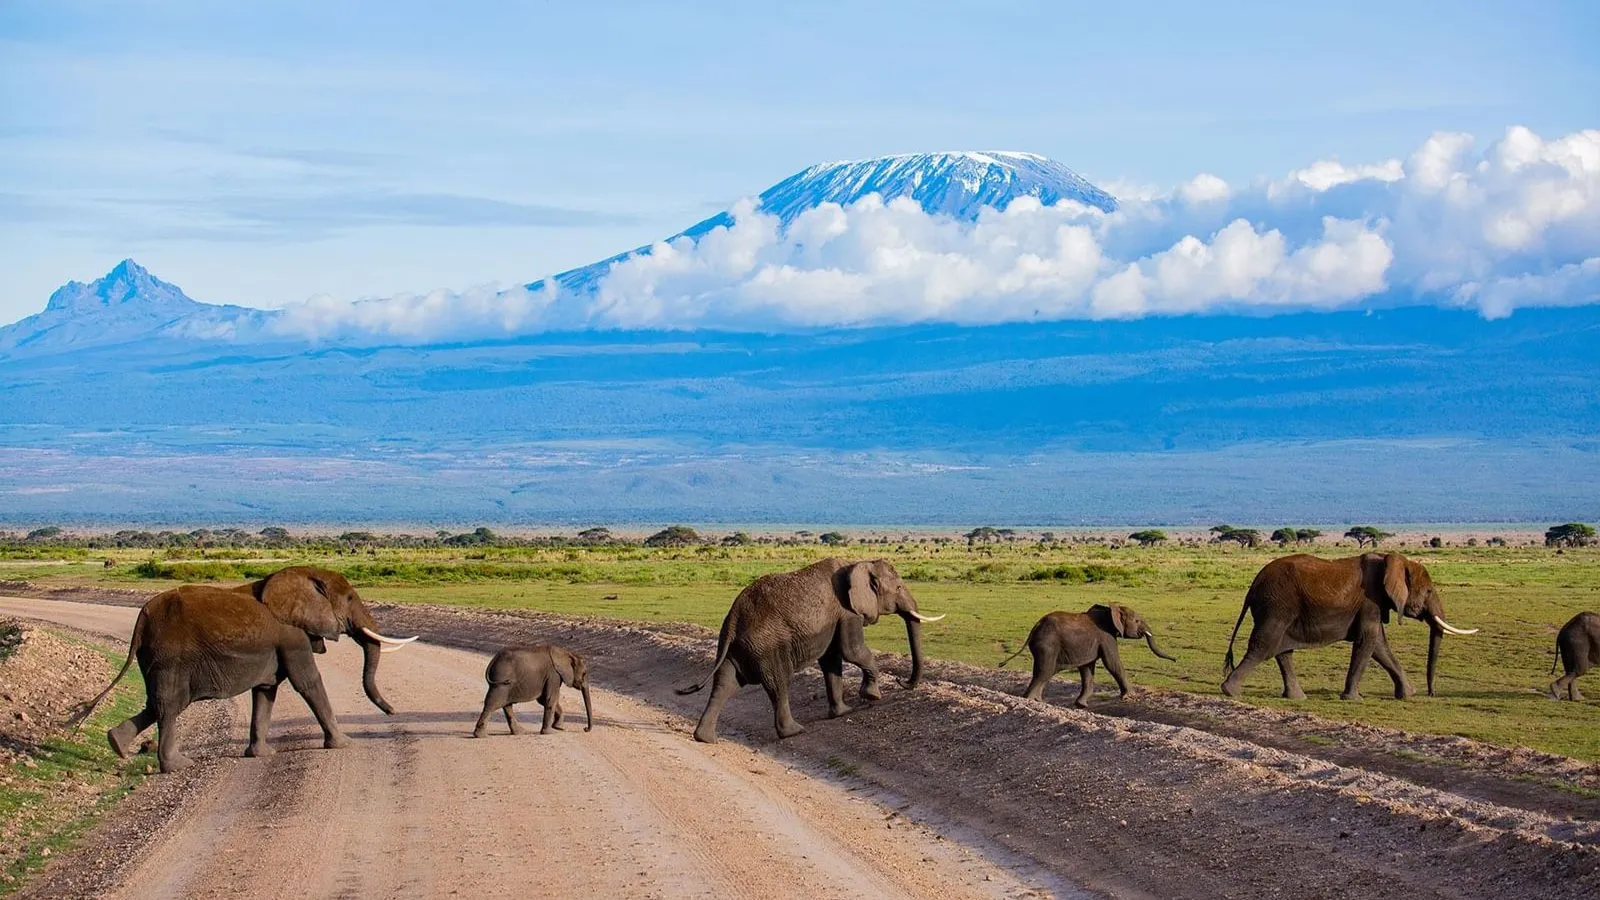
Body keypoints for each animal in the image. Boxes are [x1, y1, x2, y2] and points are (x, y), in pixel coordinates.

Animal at [73, 563, 419, 768]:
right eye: (348, 599)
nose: (393, 712)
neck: (300, 575)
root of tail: (140, 621)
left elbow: (266, 691)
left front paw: (261, 755)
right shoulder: (292, 636)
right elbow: (307, 681)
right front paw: (344, 745)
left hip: (155, 659)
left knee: (155, 704)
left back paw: (116, 744)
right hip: (171, 657)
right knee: (170, 706)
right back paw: (178, 765)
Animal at [672, 554, 934, 743]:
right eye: (898, 588)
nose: (903, 682)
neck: (858, 562)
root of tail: (734, 618)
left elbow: (831, 661)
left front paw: (843, 712)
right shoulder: (847, 612)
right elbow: (852, 651)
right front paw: (872, 696)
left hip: (738, 646)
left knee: (725, 684)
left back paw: (705, 739)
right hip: (767, 645)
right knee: (779, 684)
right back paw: (795, 731)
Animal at [998, 598, 1177, 704]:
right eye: (1137, 621)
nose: (1175, 659)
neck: (1111, 610)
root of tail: (1035, 627)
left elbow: (1087, 668)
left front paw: (1081, 705)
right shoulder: (1106, 636)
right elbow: (1112, 663)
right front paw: (1131, 697)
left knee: (1045, 673)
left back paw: (1038, 701)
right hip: (1047, 646)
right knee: (1044, 672)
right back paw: (1030, 701)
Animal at [1216, 550, 1478, 698]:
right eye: (1429, 591)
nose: (1431, 693)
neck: (1391, 560)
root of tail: (1253, 585)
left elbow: (1380, 645)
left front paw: (1408, 695)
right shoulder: (1370, 601)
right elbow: (1368, 641)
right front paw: (1352, 699)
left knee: (1282, 650)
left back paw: (1297, 698)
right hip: (1277, 606)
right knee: (1265, 645)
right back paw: (1230, 691)